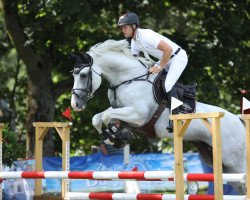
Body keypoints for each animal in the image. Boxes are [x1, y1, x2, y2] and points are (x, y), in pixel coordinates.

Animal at [70, 39, 246, 194]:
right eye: (74, 75)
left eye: (83, 75)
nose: (75, 104)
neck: (128, 79)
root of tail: (239, 122)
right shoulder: (123, 112)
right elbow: (99, 118)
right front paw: (115, 137)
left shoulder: (138, 115)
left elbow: (106, 116)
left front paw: (115, 136)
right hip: (220, 162)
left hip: (235, 162)